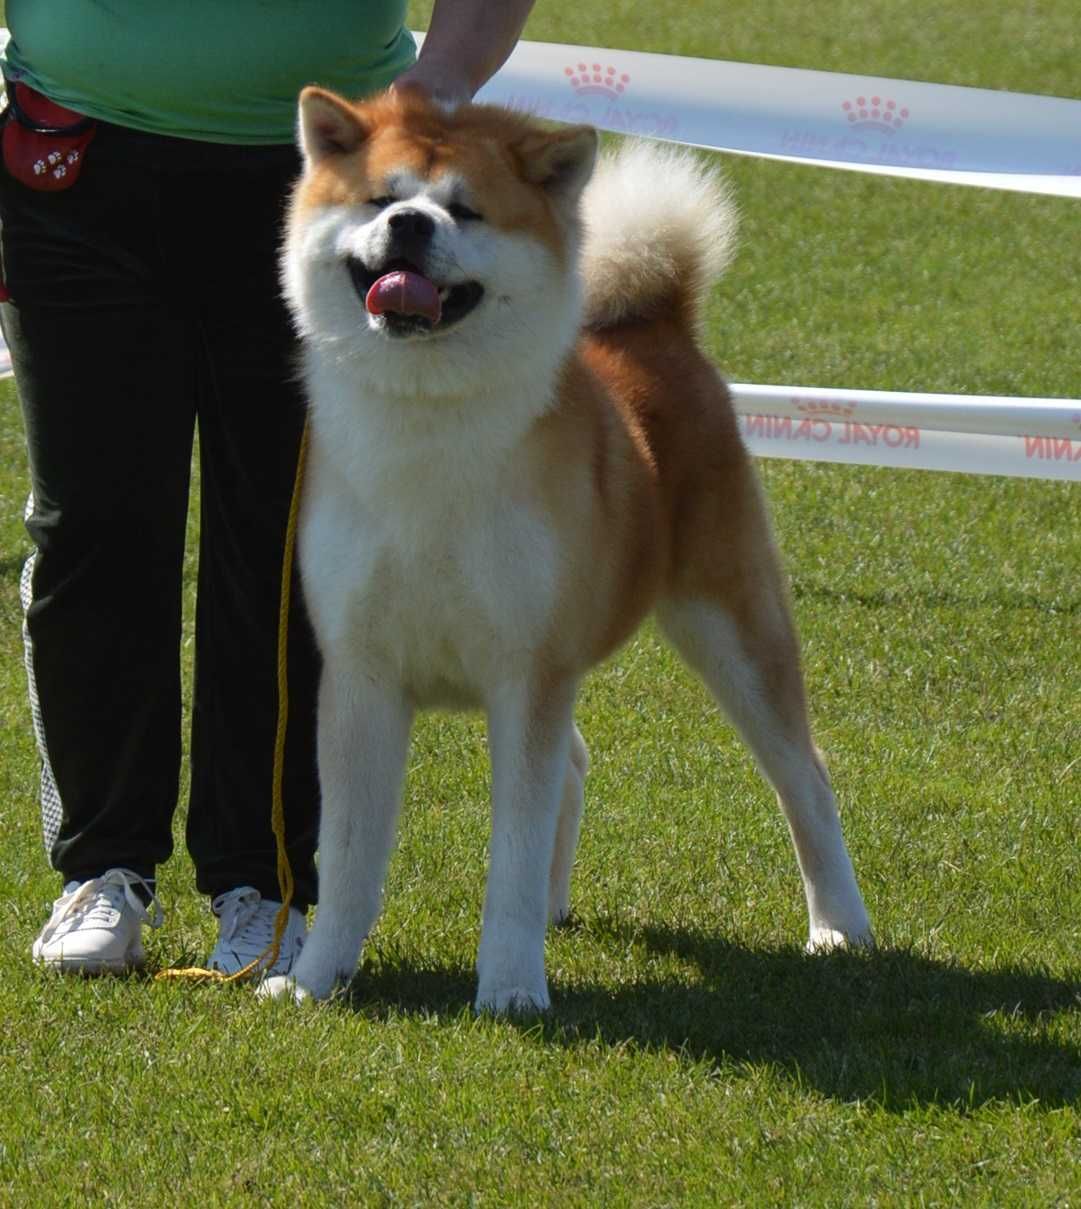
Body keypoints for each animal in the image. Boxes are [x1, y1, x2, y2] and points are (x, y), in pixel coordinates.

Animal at [266, 87, 875, 1010]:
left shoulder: (528, 670)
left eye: (464, 210)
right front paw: (313, 979)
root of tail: (657, 324)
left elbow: (510, 858)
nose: (408, 224)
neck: (425, 431)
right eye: (379, 199)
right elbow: (346, 859)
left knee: (804, 776)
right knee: (579, 764)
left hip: (732, 627)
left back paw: (839, 925)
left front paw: (512, 987)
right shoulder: (362, 673)